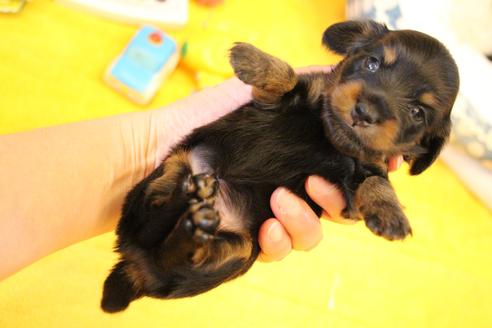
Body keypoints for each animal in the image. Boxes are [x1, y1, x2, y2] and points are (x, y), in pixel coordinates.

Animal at [102, 20, 460, 312]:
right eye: (371, 63)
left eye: (418, 113)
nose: (364, 112)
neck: (329, 136)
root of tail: (133, 265)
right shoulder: (280, 98)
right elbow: (287, 76)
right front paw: (248, 57)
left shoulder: (363, 175)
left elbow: (376, 182)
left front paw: (390, 215)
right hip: (175, 165)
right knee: (154, 208)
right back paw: (189, 194)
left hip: (237, 249)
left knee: (180, 249)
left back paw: (195, 217)